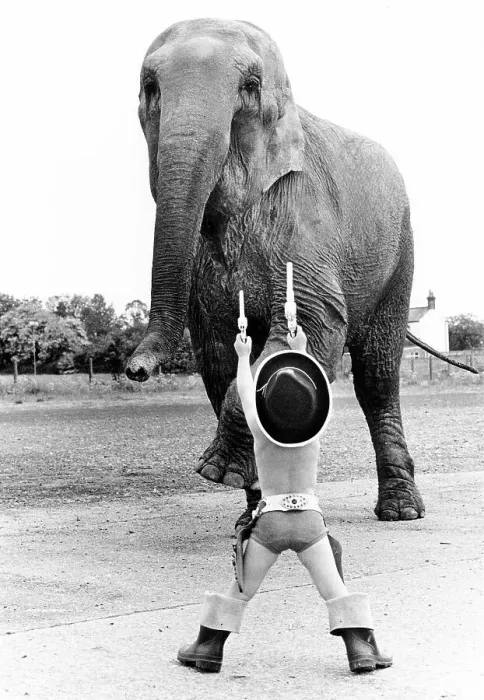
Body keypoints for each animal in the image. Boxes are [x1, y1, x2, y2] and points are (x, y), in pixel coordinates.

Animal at [126, 18, 475, 526]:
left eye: (250, 87)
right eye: (150, 89)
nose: (134, 370)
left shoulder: (306, 219)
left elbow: (309, 326)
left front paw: (215, 472)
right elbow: (218, 351)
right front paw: (249, 512)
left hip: (400, 257)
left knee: (377, 379)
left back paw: (402, 512)